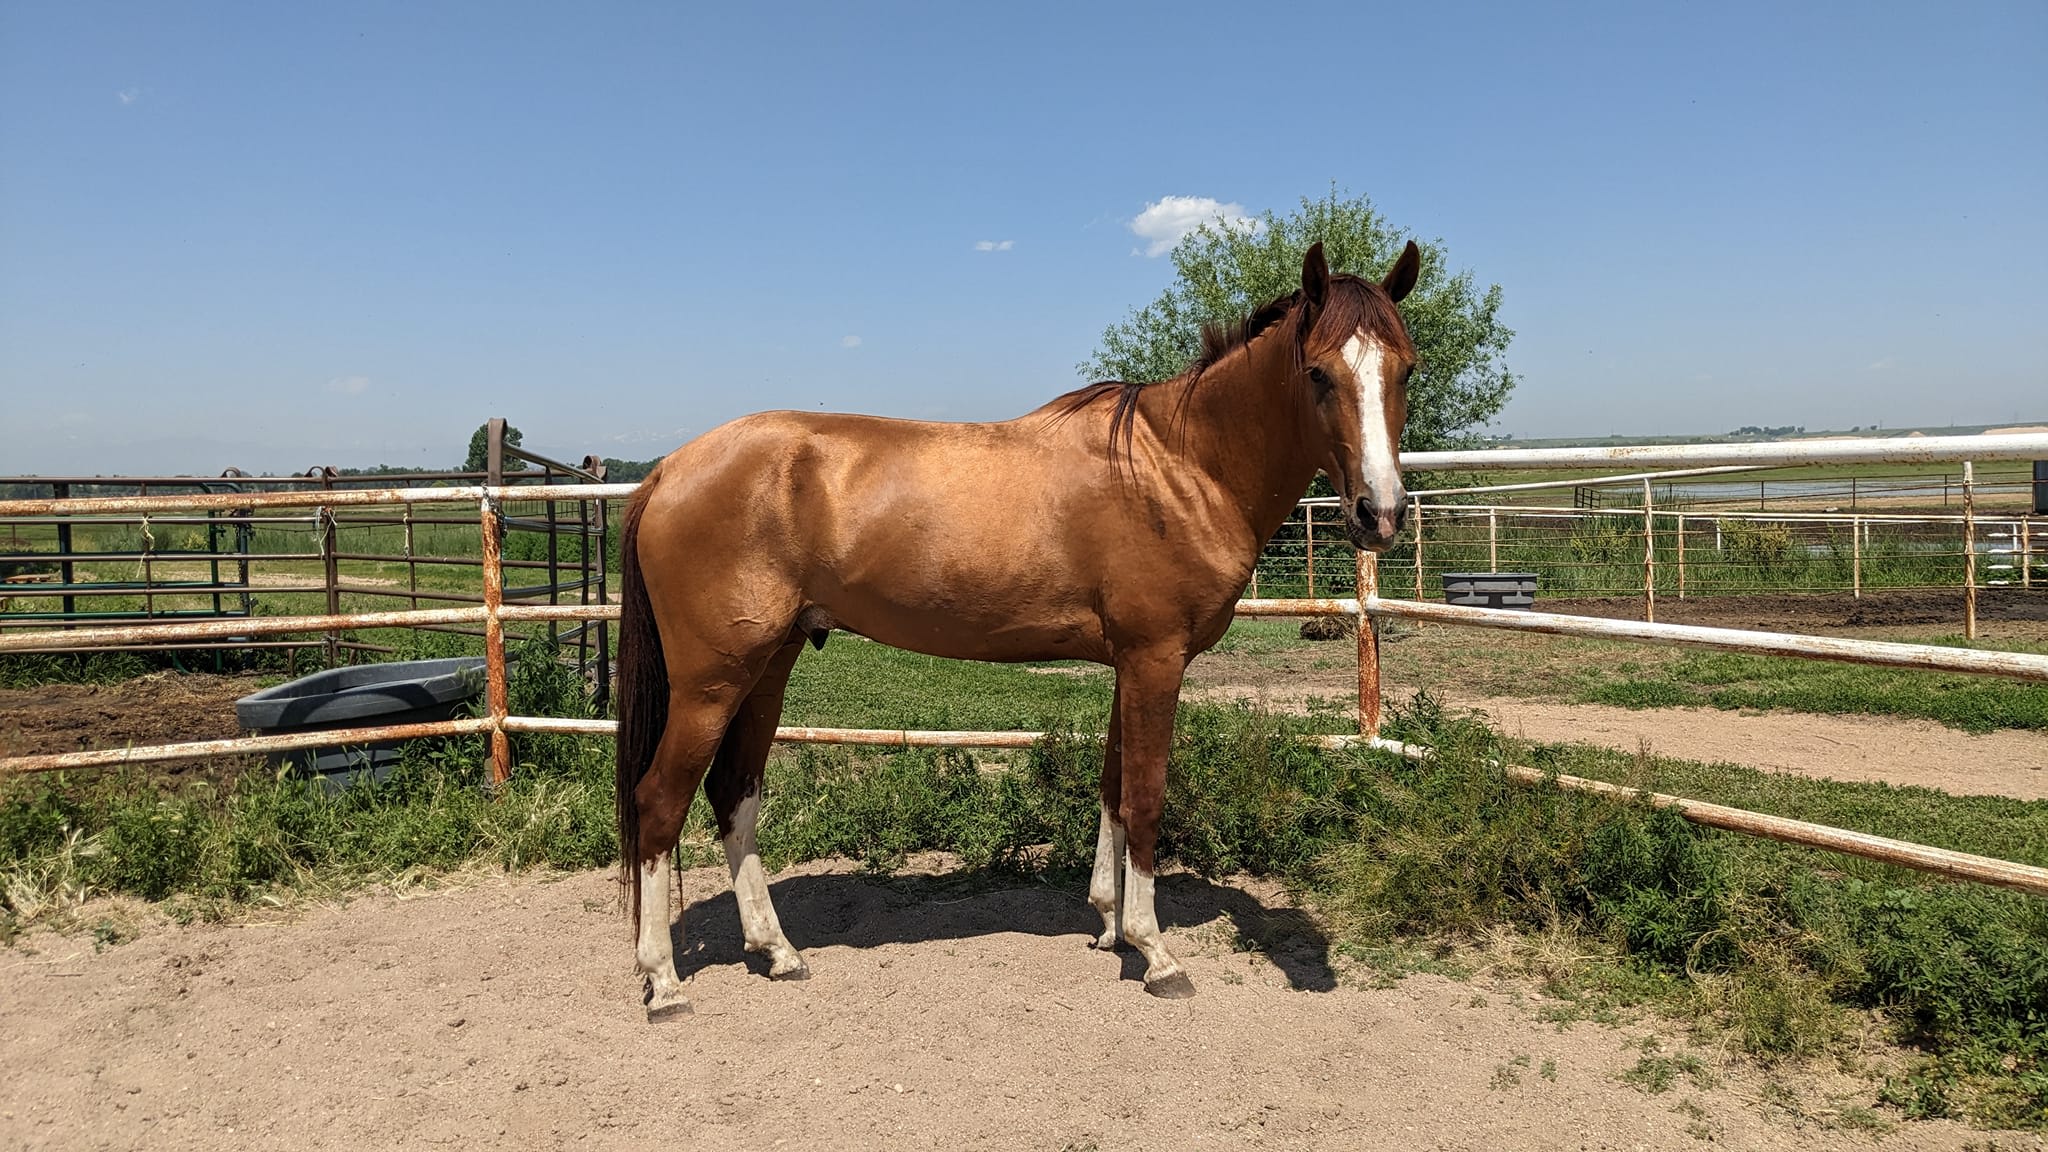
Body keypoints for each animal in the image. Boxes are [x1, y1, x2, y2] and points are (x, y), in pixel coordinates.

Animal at [615, 240, 1420, 1020]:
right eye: (1318, 372)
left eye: (1406, 368)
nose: (1380, 514)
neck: (1182, 467)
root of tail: (668, 471)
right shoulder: (1157, 660)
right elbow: (1146, 799)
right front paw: (1156, 953)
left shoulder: (1129, 665)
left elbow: (1112, 789)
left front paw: (1108, 924)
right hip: (712, 681)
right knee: (659, 802)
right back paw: (664, 983)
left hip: (768, 666)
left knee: (733, 794)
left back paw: (777, 951)